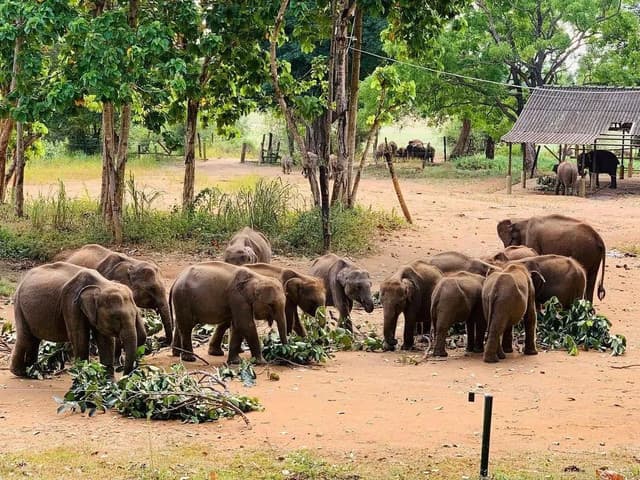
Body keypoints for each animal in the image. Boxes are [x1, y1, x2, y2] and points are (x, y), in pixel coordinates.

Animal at [10, 262, 145, 377]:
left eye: (136, 314)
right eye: (115, 317)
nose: (123, 375)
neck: (101, 284)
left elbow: (105, 340)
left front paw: (108, 383)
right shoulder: (71, 303)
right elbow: (80, 337)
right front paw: (83, 376)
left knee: (34, 339)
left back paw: (33, 372)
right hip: (19, 305)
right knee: (25, 337)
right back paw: (20, 373)